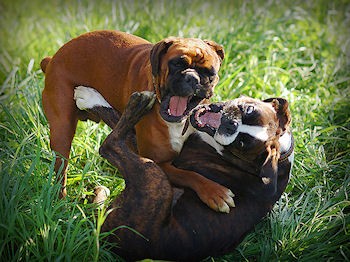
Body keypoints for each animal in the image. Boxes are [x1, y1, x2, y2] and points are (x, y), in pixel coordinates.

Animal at [41, 30, 230, 212]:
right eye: (177, 64)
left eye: (209, 72)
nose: (192, 78)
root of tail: (53, 58)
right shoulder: (157, 162)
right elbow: (188, 174)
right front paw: (215, 192)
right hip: (62, 133)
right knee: (61, 171)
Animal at [78, 89, 294, 260]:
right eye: (249, 110)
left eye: (240, 144)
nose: (231, 125)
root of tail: (115, 244)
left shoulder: (159, 160)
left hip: (154, 176)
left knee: (110, 145)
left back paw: (130, 103)